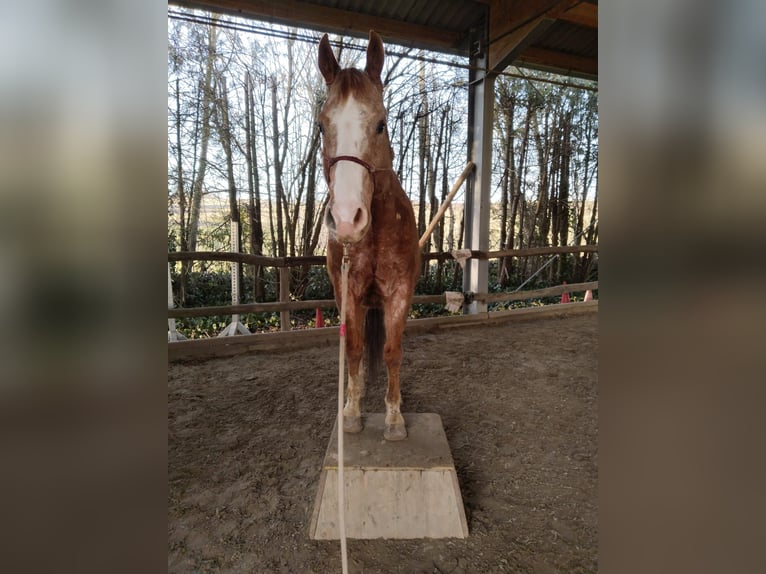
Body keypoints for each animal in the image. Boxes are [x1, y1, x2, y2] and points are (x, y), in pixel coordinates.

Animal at [317, 31, 420, 441]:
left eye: (381, 124)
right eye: (321, 126)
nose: (347, 220)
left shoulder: (400, 292)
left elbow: (392, 351)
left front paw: (394, 418)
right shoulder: (348, 292)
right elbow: (355, 350)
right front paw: (351, 412)